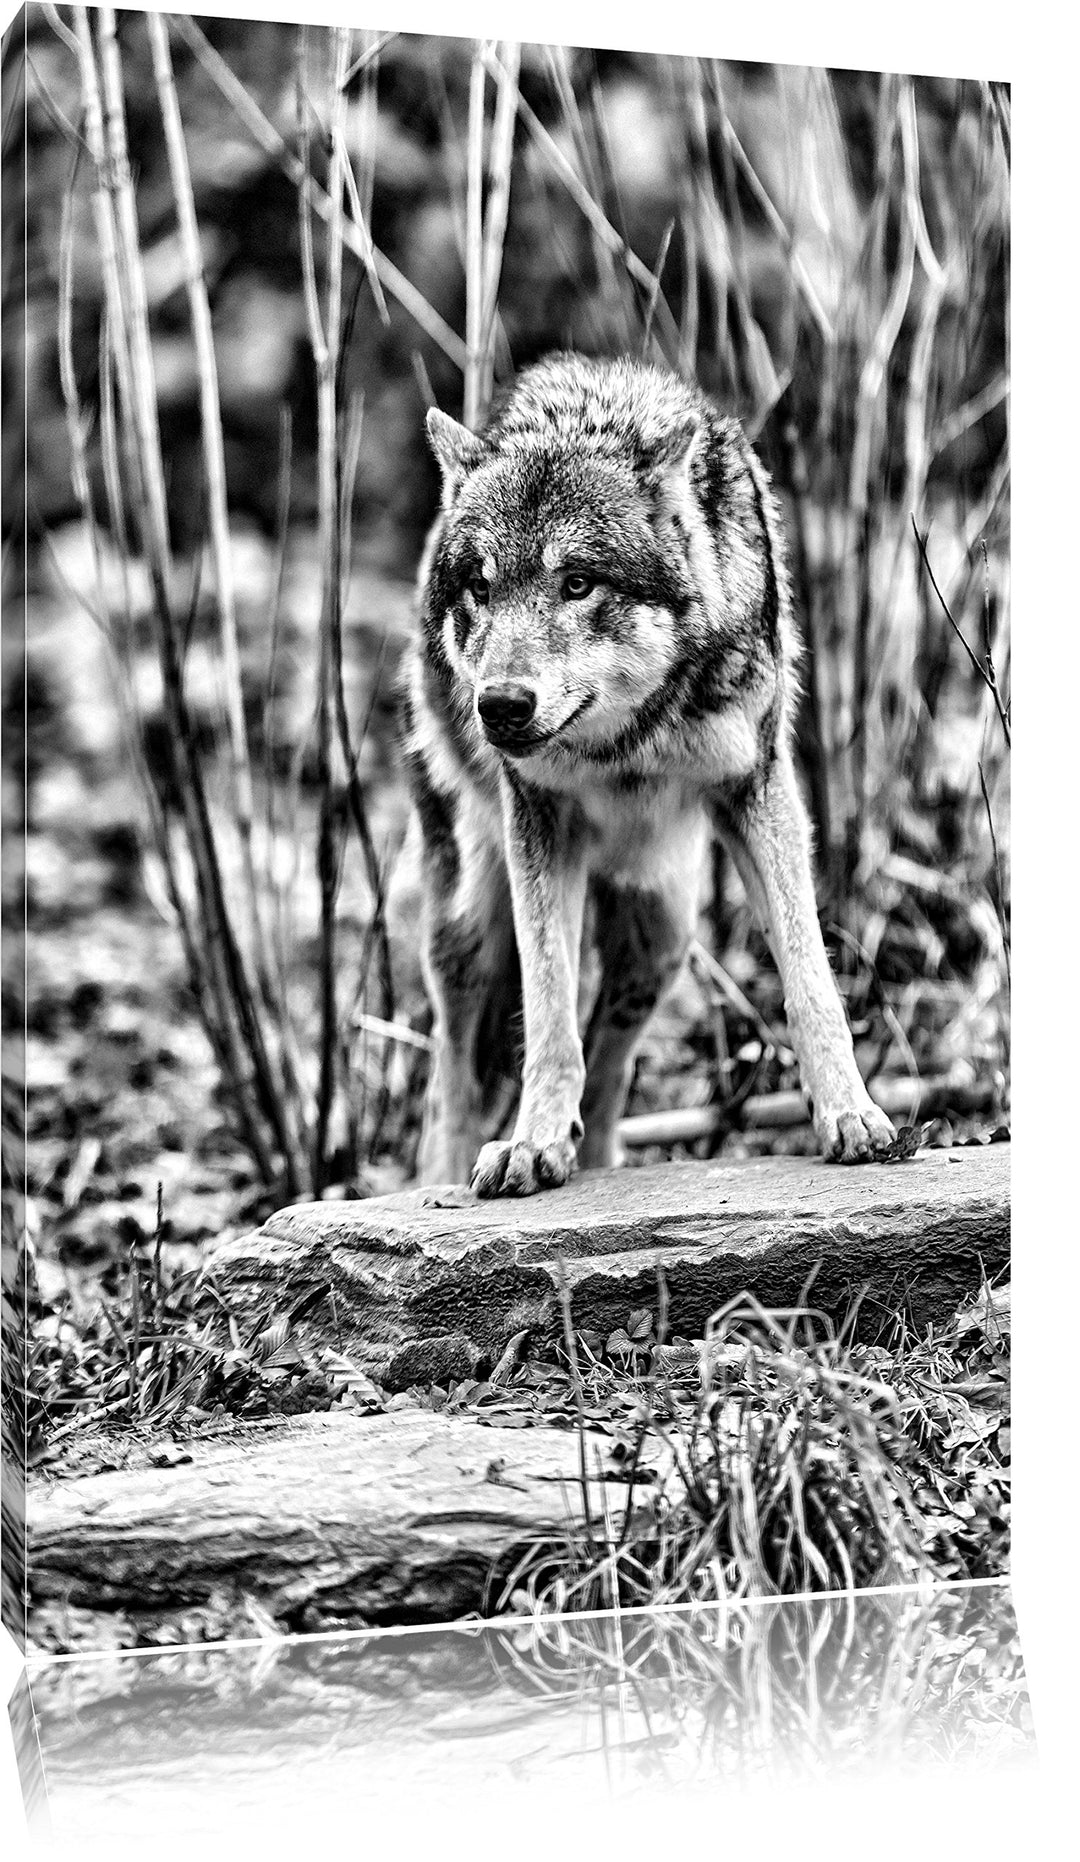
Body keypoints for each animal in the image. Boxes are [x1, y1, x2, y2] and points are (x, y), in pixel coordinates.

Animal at [399, 352, 895, 1197]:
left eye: (577, 584)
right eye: (481, 588)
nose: (500, 706)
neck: (629, 743)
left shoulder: (756, 791)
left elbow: (810, 979)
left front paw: (849, 1115)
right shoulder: (538, 819)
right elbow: (549, 1010)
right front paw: (530, 1143)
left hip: (662, 935)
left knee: (610, 1076)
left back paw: (595, 1164)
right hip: (468, 923)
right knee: (451, 1080)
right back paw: (446, 1181)